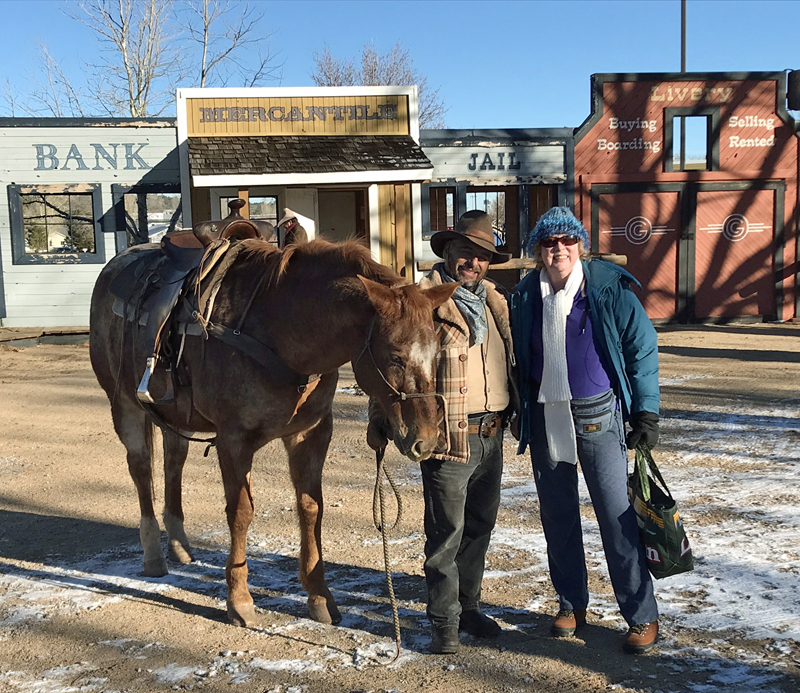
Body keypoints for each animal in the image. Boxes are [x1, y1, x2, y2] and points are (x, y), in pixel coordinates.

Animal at [90, 235, 456, 624]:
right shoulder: (233, 441)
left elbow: (311, 508)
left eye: (437, 351)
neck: (279, 330)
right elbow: (240, 513)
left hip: (174, 415)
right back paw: (154, 555)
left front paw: (319, 595)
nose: (427, 439)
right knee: (142, 469)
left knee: (174, 463)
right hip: (125, 405)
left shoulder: (310, 434)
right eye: (395, 356)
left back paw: (178, 544)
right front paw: (239, 600)